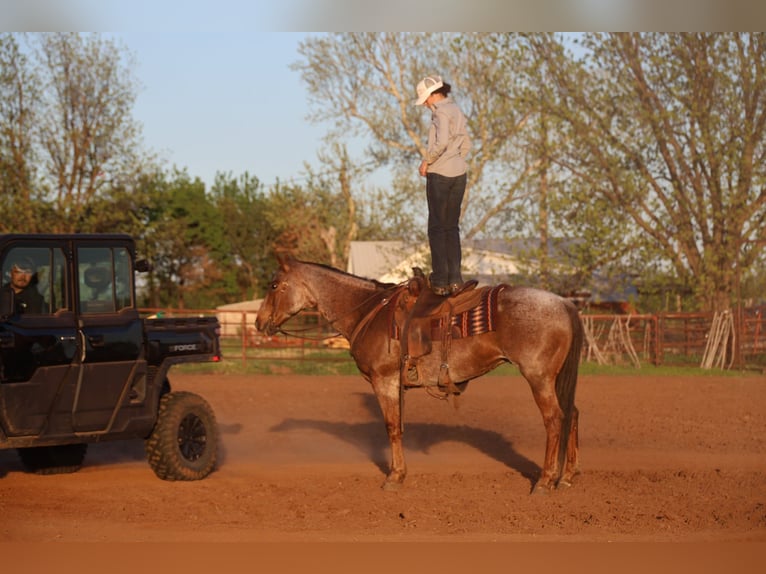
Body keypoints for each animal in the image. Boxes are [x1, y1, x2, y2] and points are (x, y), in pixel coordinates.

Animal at [255, 256, 583, 494]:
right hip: (557, 378)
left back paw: (545, 481)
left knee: (554, 419)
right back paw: (567, 477)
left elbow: (391, 427)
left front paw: (394, 477)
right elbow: (397, 426)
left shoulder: (384, 380)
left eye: (274, 285)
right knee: (572, 414)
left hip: (539, 377)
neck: (368, 312)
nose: (259, 322)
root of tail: (564, 303)